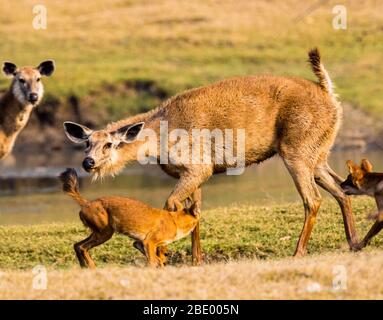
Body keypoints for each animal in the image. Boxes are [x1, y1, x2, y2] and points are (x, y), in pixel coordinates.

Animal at [63, 48, 360, 264]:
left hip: (296, 148)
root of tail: (329, 94)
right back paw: (355, 243)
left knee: (313, 199)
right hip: (318, 153)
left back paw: (298, 251)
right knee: (341, 190)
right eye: (87, 143)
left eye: (109, 144)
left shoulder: (199, 166)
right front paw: (196, 259)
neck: (160, 142)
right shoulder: (193, 172)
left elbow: (172, 204)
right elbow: (195, 212)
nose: (88, 163)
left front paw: (166, 253)